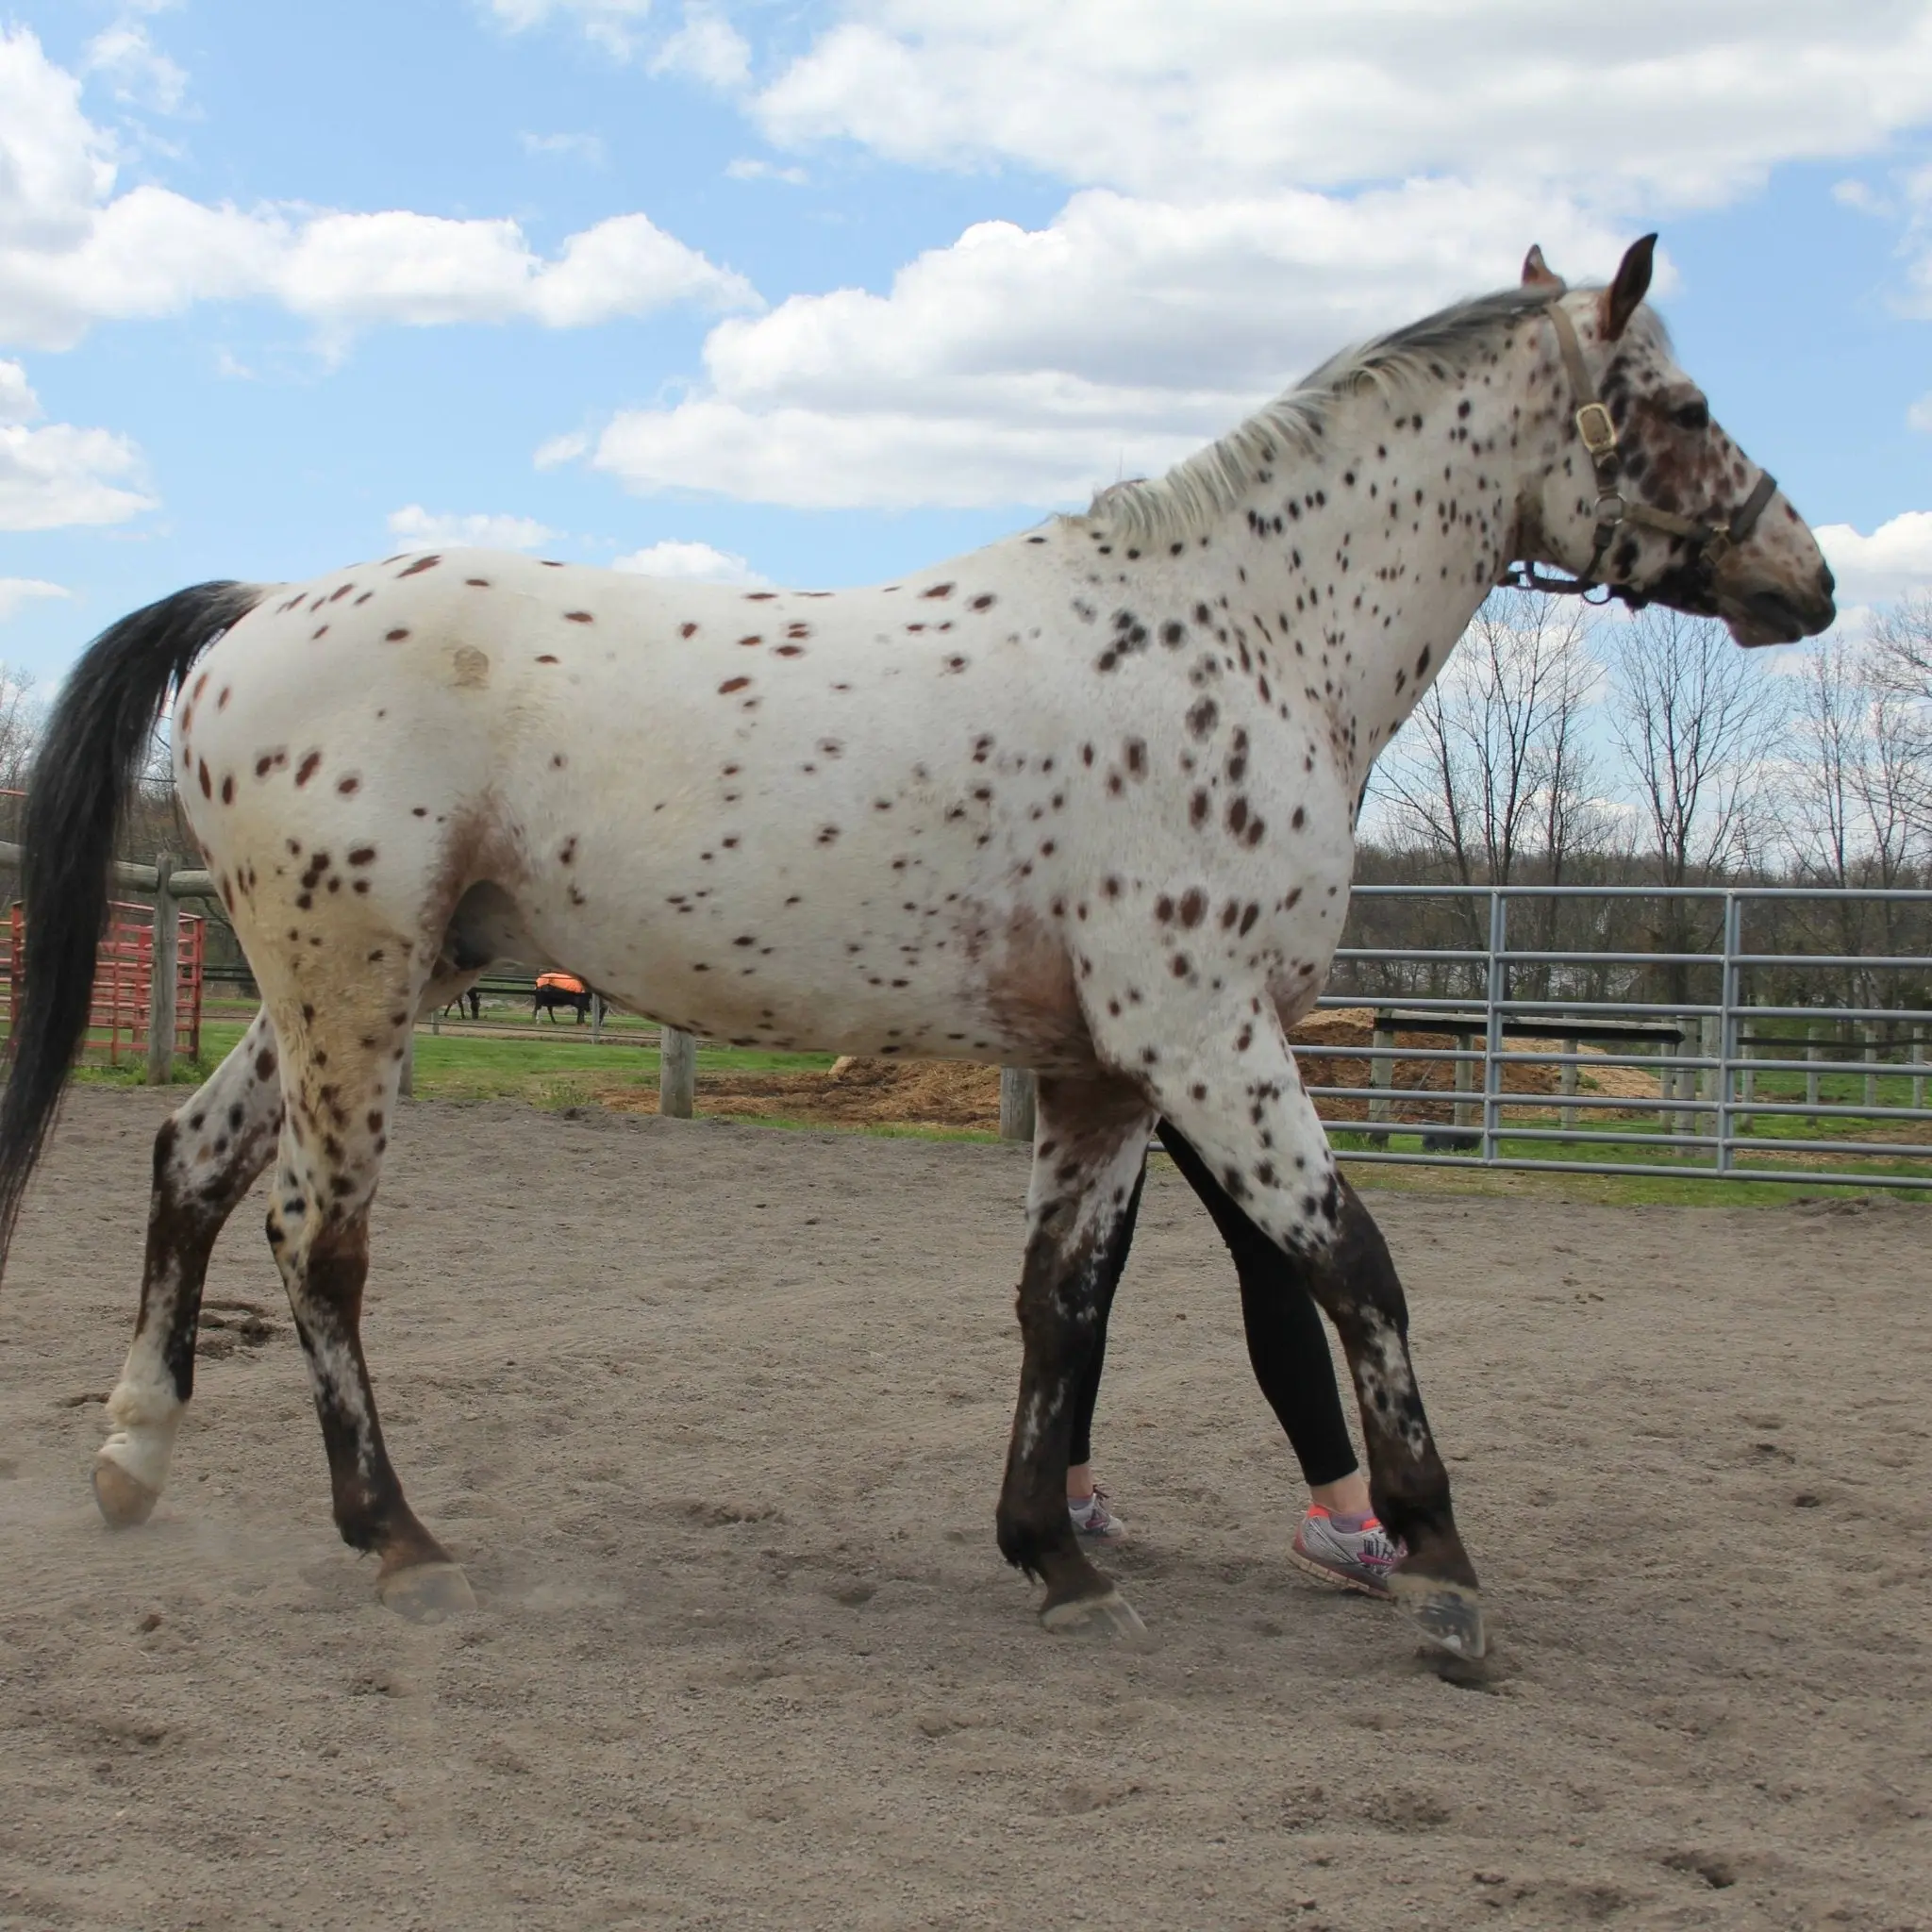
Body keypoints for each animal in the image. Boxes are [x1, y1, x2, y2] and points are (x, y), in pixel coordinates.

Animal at [0, 238, 1832, 1655]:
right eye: (1681, 408)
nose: (1804, 578)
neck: (1240, 643)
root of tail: (256, 613)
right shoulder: (1203, 1037)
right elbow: (1351, 1266)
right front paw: (1446, 1572)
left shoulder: (1105, 1072)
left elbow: (1062, 1306)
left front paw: (1058, 1558)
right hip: (354, 988)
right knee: (316, 1233)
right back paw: (399, 1543)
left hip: (356, 984)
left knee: (192, 1161)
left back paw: (135, 1461)